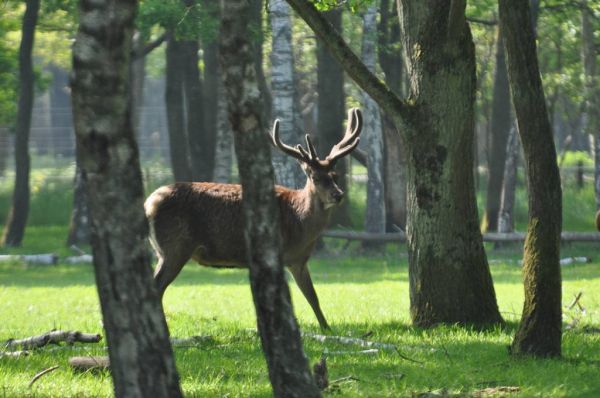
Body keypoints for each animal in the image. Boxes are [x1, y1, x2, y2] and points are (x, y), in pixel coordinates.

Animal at [145, 106, 364, 330]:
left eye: (335, 176)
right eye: (316, 177)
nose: (338, 195)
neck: (299, 224)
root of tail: (149, 203)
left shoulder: (298, 260)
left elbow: (313, 297)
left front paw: (326, 328)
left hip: (166, 250)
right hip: (174, 246)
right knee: (156, 287)